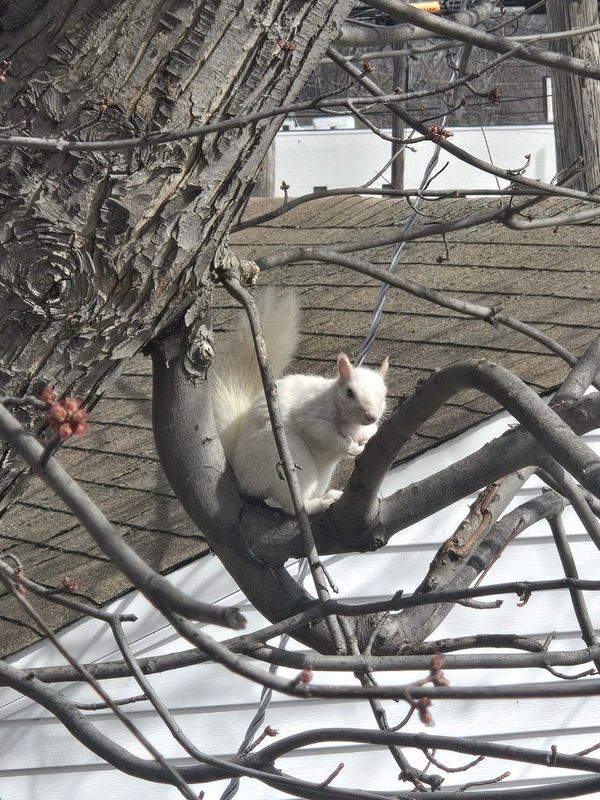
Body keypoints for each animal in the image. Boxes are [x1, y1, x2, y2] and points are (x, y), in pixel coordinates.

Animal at [211, 289, 389, 514]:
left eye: (383, 394)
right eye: (349, 393)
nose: (371, 416)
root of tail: (242, 470)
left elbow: (371, 432)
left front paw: (362, 442)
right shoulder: (310, 417)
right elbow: (322, 433)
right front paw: (348, 446)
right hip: (288, 456)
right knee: (291, 505)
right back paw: (321, 502)